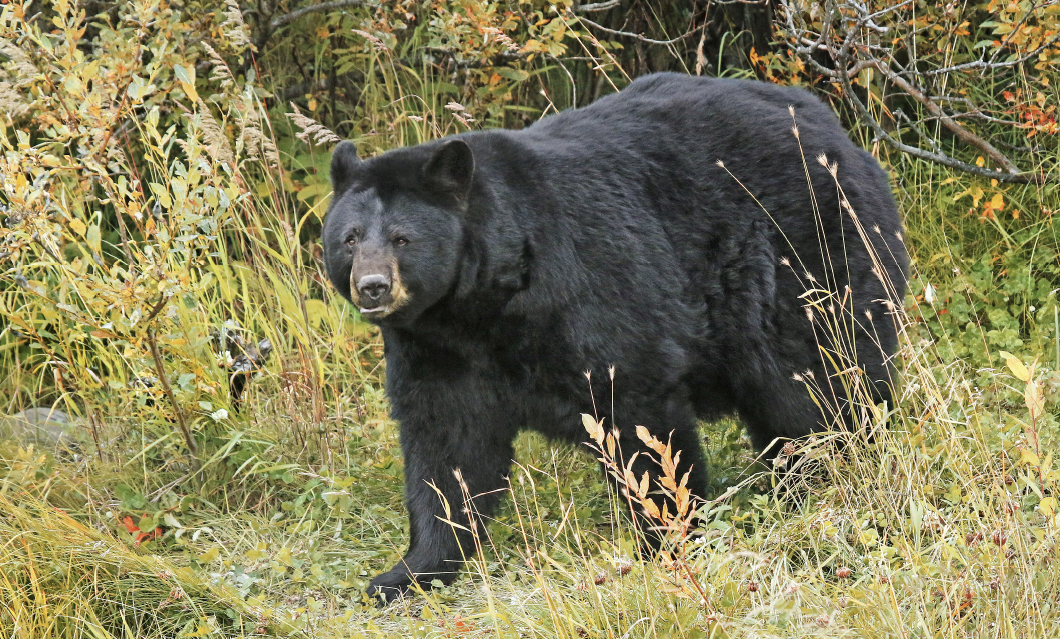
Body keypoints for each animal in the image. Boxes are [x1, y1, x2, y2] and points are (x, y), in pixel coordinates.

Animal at [317, 72, 907, 601]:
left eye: (403, 238)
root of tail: (837, 131)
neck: (482, 307)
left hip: (806, 258)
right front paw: (407, 572)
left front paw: (665, 538)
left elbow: (639, 415)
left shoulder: (592, 290)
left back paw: (830, 480)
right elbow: (447, 449)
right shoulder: (436, 350)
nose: (372, 286)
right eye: (349, 238)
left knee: (819, 387)